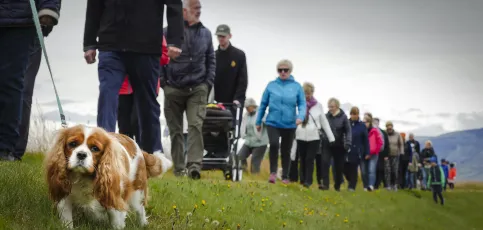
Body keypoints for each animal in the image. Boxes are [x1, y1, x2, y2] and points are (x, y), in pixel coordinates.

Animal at [43, 125, 172, 229]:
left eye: (95, 148)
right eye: (72, 144)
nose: (81, 154)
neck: (84, 178)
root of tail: (138, 148)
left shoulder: (114, 203)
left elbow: (116, 223)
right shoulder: (65, 201)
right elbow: (67, 222)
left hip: (137, 192)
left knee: (140, 210)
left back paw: (143, 224)